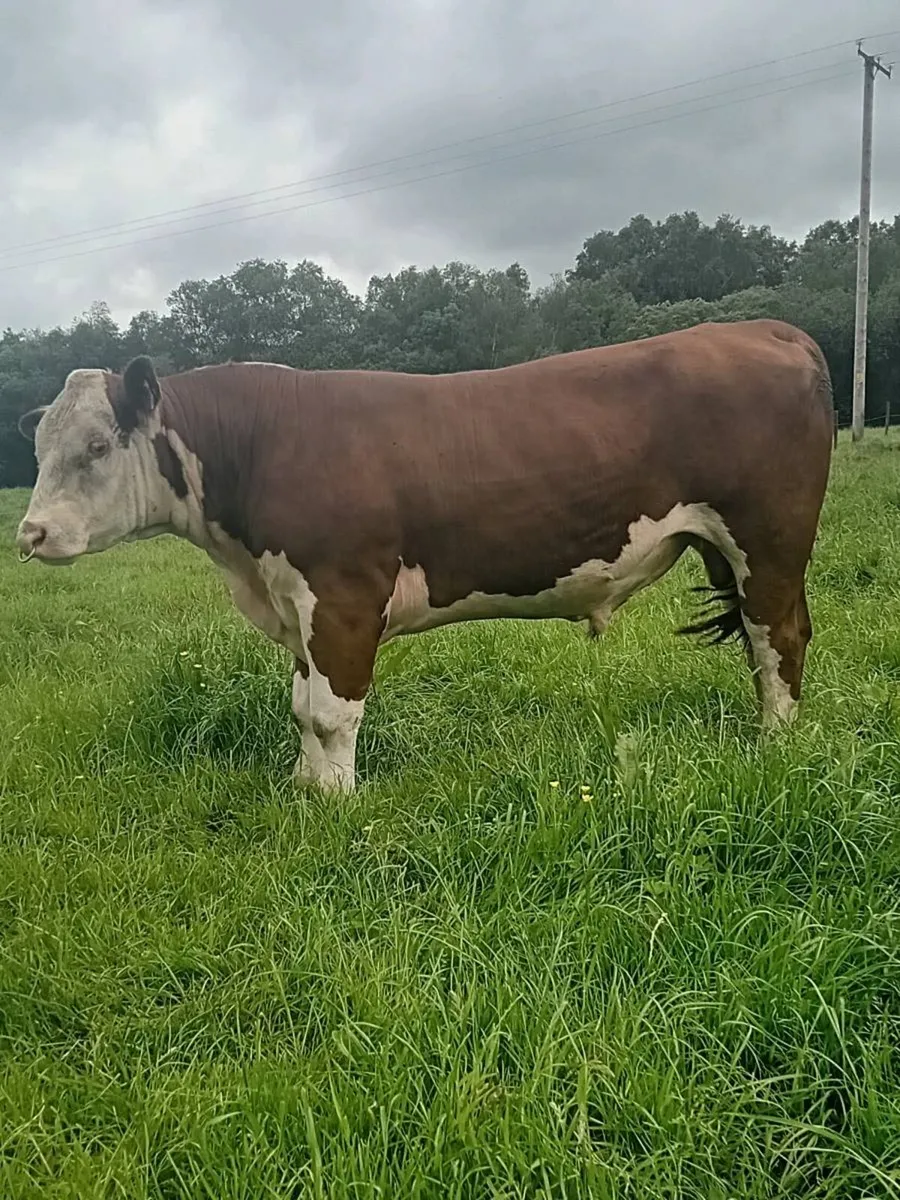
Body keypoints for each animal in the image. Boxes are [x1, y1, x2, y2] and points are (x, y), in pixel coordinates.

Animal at [15, 318, 833, 793]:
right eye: (39, 447)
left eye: (96, 446)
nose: (31, 534)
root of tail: (764, 327)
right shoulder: (295, 603)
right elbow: (299, 706)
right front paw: (305, 790)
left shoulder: (342, 594)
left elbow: (329, 713)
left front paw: (334, 804)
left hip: (769, 541)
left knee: (778, 638)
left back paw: (775, 742)